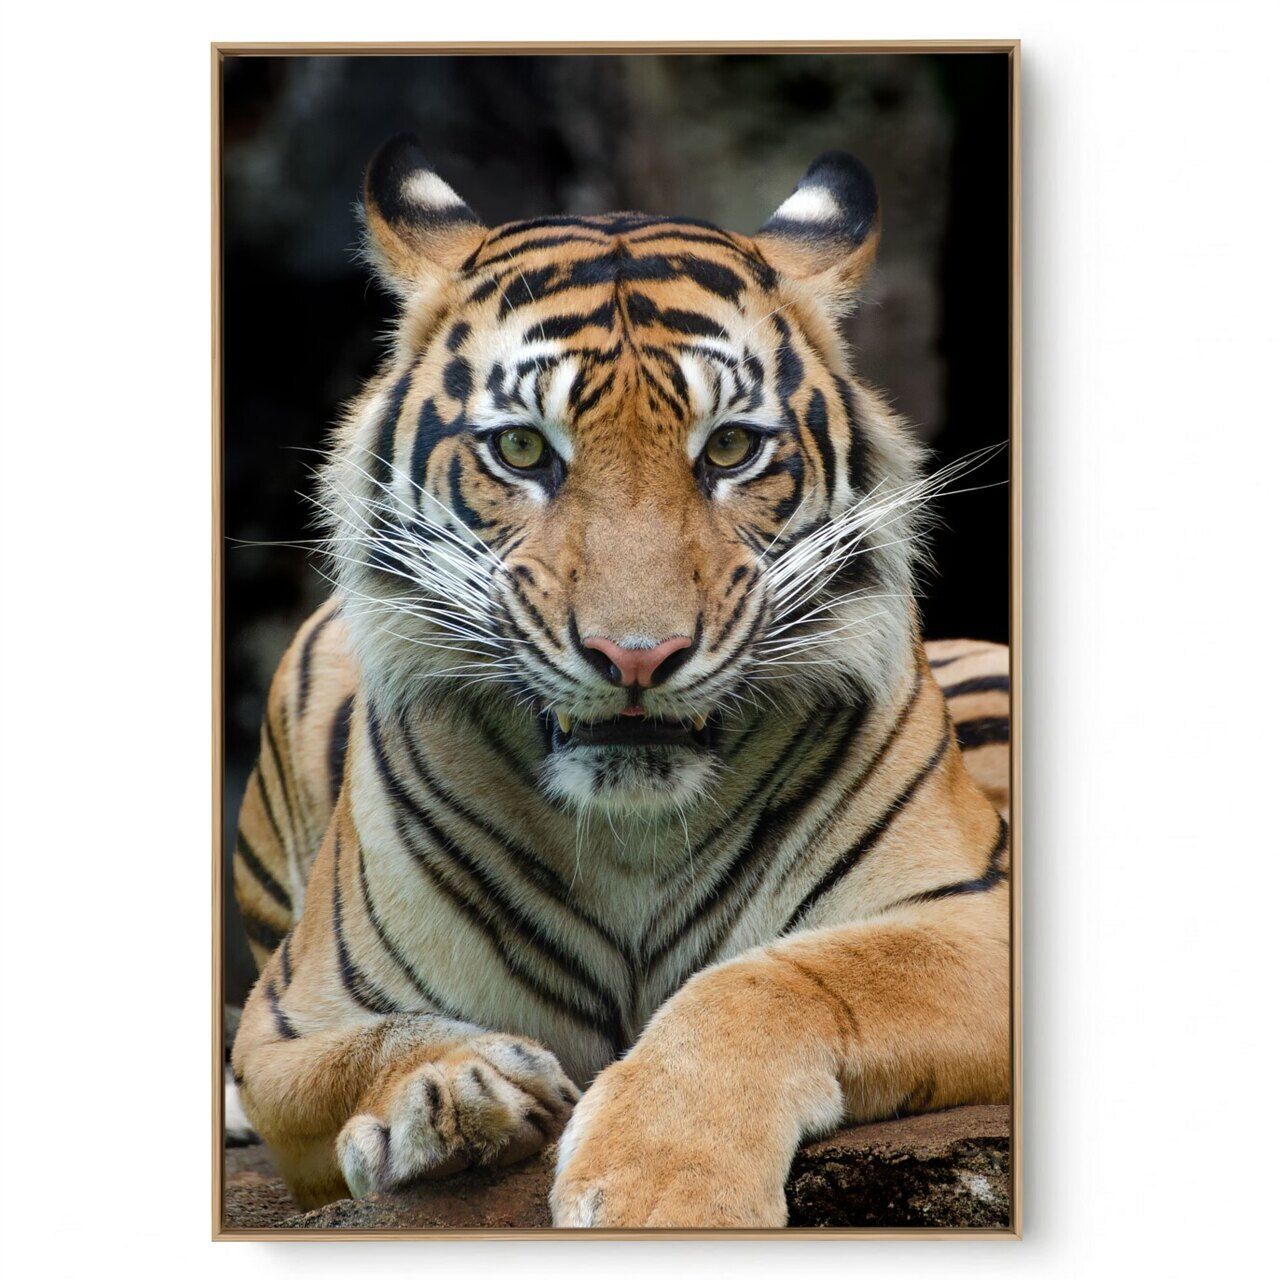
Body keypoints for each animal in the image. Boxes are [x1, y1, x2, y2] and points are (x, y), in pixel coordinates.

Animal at [230, 135, 1013, 1228]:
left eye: (730, 447)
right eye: (522, 449)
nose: (636, 655)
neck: (629, 839)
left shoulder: (976, 916)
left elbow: (771, 981)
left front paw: (665, 1190)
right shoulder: (289, 1016)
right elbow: (360, 1050)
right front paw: (456, 1086)